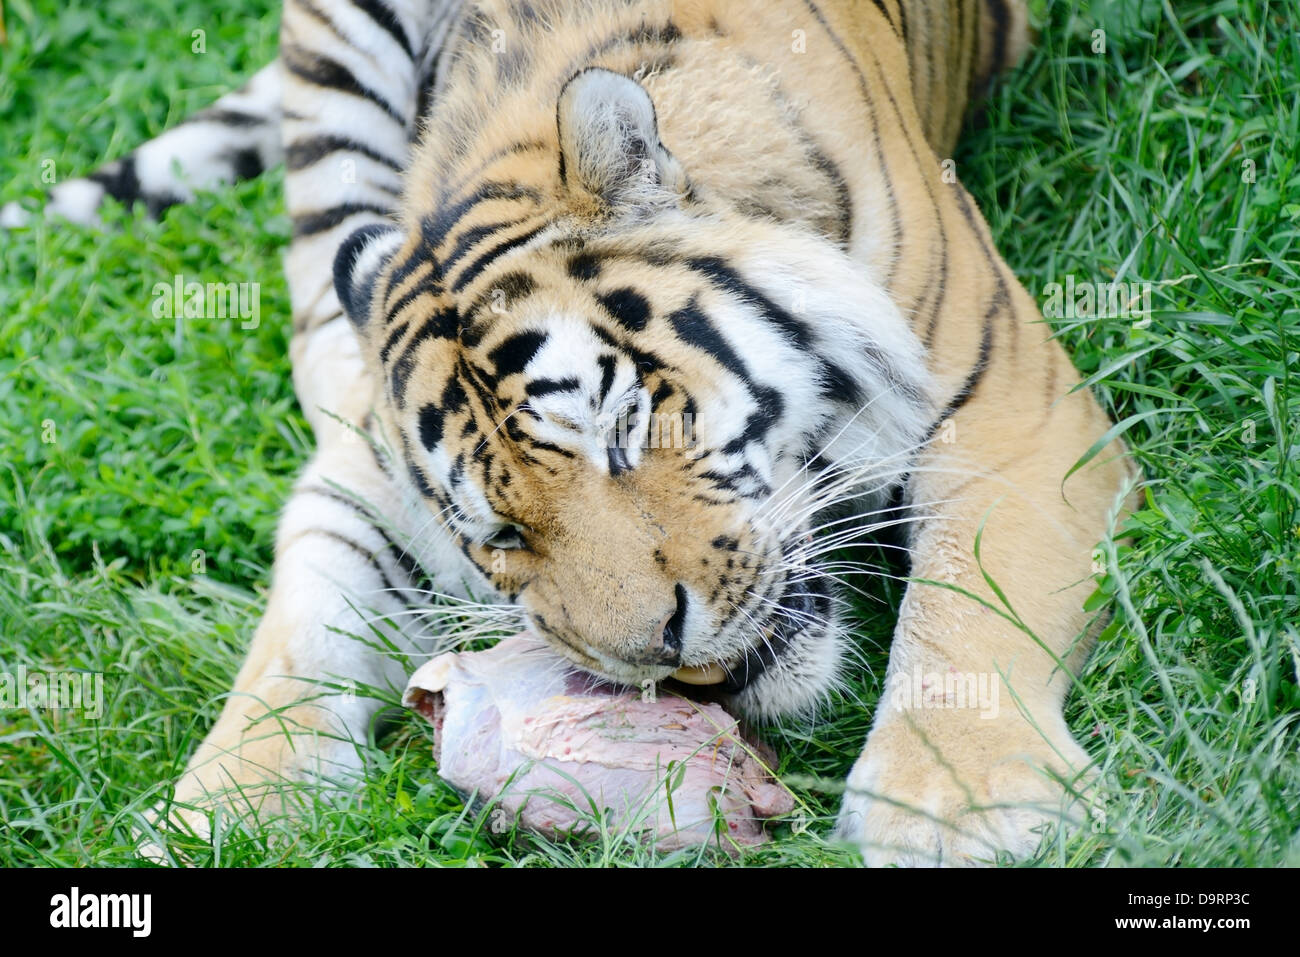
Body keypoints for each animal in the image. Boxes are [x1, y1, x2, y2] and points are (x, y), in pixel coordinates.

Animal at [6, 0, 1138, 865]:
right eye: (504, 536)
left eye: (624, 428)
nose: (671, 658)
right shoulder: (367, 486)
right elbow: (293, 643)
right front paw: (219, 813)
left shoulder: (1010, 402)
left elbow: (968, 607)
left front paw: (958, 812)